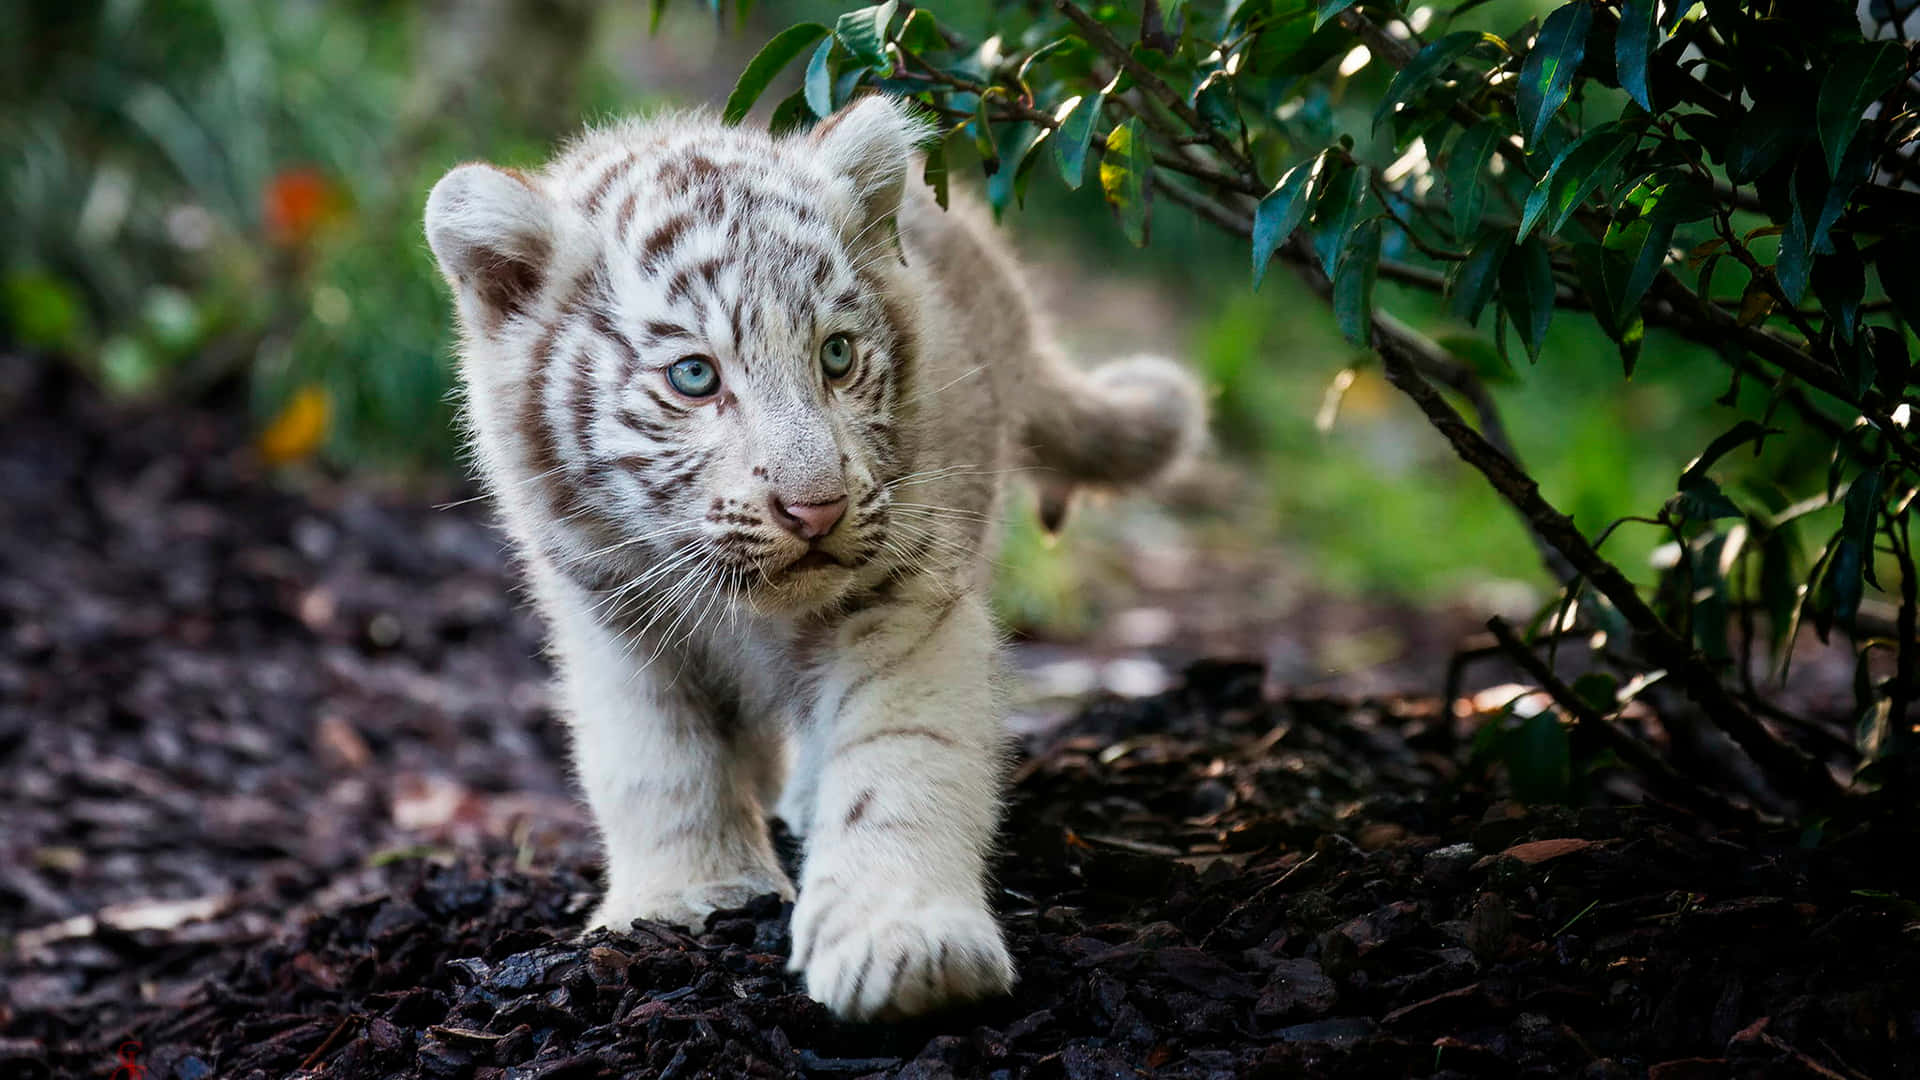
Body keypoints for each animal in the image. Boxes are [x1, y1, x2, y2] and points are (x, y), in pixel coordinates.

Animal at [422, 95, 1204, 1020]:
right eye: (694, 376)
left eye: (837, 354)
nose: (816, 508)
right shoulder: (610, 607)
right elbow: (656, 759)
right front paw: (692, 899)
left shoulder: (906, 590)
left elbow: (900, 756)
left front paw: (906, 945)